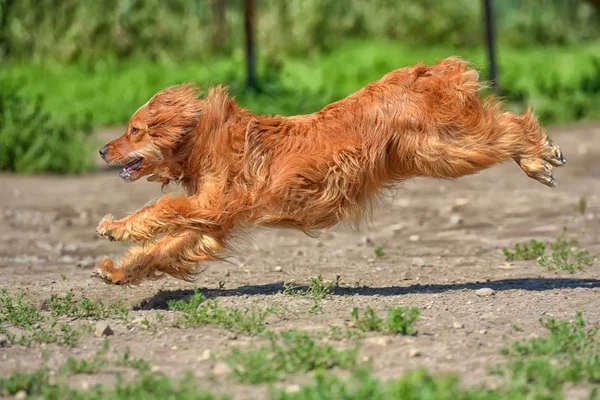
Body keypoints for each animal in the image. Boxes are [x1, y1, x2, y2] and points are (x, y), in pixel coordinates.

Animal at [96, 57, 564, 286]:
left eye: (134, 130)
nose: (101, 149)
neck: (199, 138)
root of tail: (424, 72)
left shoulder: (213, 204)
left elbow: (160, 211)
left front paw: (115, 227)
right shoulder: (214, 221)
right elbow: (162, 249)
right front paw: (118, 272)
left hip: (445, 151)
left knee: (510, 128)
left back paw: (538, 157)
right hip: (437, 152)